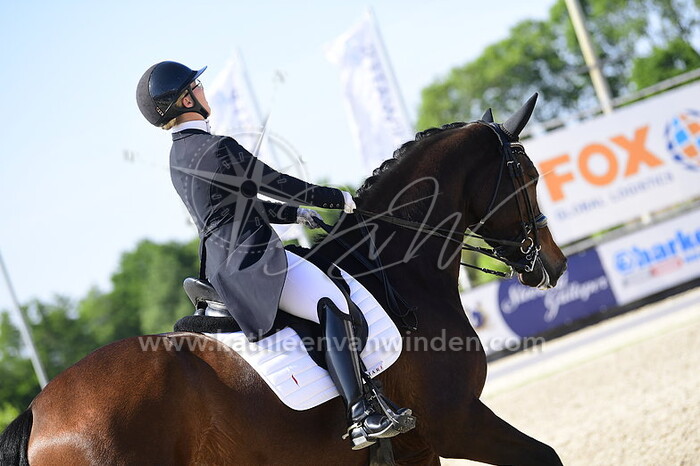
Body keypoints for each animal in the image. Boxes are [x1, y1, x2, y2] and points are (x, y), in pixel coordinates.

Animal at [0, 95, 567, 465]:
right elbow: (549, 458)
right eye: (529, 176)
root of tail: (36, 413)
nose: (556, 265)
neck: (400, 271)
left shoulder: (419, 449)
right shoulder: (457, 424)